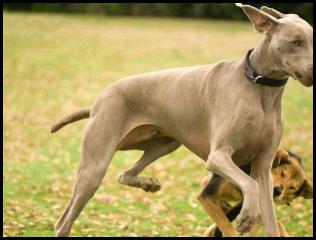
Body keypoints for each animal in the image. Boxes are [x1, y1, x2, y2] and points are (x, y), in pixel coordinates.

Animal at [51, 3, 314, 236]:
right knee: (64, 221)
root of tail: (97, 101)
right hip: (95, 165)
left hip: (165, 143)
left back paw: (149, 183)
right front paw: (246, 216)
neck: (259, 87)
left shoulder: (264, 165)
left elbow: (266, 208)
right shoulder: (218, 156)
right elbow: (248, 185)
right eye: (296, 42)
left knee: (124, 173)